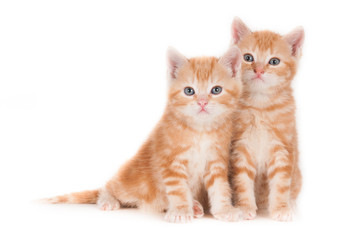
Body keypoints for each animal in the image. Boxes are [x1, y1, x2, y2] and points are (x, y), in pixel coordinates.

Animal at [47, 46, 243, 223]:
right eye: (189, 91)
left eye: (216, 90)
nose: (202, 103)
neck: (200, 130)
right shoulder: (170, 162)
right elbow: (178, 189)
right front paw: (180, 210)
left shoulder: (216, 161)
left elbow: (220, 187)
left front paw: (224, 210)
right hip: (134, 182)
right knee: (109, 186)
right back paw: (107, 199)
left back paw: (193, 205)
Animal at [229, 17, 302, 222]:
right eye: (248, 57)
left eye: (274, 61)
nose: (259, 70)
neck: (260, 105)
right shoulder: (240, 147)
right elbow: (242, 180)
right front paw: (245, 207)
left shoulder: (284, 148)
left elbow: (281, 182)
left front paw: (281, 208)